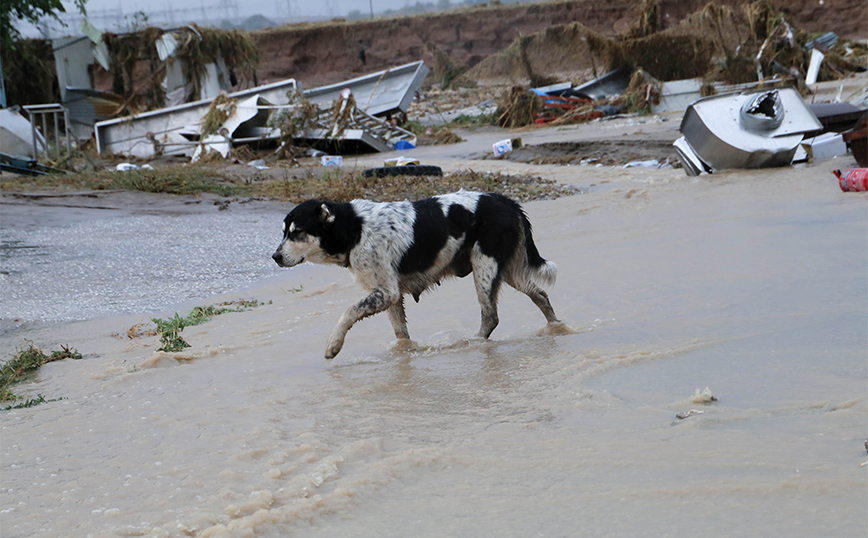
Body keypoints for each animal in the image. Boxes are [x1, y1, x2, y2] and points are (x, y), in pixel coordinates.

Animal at [272, 188, 564, 356]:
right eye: (283, 232)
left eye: (297, 232)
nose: (275, 257)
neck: (354, 228)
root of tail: (508, 202)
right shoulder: (388, 294)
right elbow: (400, 332)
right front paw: (405, 352)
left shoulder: (386, 292)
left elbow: (348, 313)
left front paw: (334, 344)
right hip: (508, 271)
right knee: (540, 295)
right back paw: (557, 327)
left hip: (485, 269)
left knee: (491, 317)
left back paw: (473, 343)